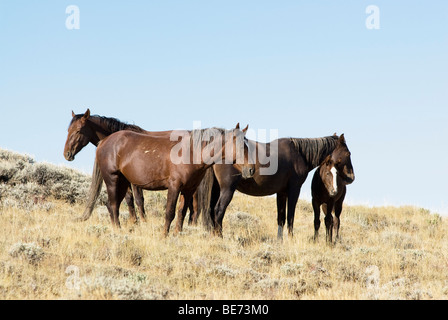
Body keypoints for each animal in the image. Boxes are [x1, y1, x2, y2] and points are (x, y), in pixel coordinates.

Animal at [63, 110, 198, 225]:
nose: (67, 154)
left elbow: (139, 199)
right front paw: (134, 221)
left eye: (78, 130)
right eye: (68, 130)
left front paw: (143, 221)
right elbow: (129, 199)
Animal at [92, 124, 254, 235]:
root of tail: (103, 142)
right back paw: (117, 231)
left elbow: (182, 212)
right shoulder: (174, 187)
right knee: (113, 206)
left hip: (123, 182)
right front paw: (164, 236)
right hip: (113, 180)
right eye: (241, 146)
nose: (251, 169)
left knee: (112, 205)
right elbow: (170, 212)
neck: (189, 153)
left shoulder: (188, 189)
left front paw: (177, 234)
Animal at [200, 131, 354, 239]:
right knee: (218, 210)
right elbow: (290, 216)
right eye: (348, 153)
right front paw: (291, 239)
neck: (299, 154)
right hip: (227, 189)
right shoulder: (294, 191)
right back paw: (220, 236)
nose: (351, 177)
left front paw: (280, 240)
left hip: (216, 189)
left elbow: (281, 218)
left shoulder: (281, 193)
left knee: (210, 210)